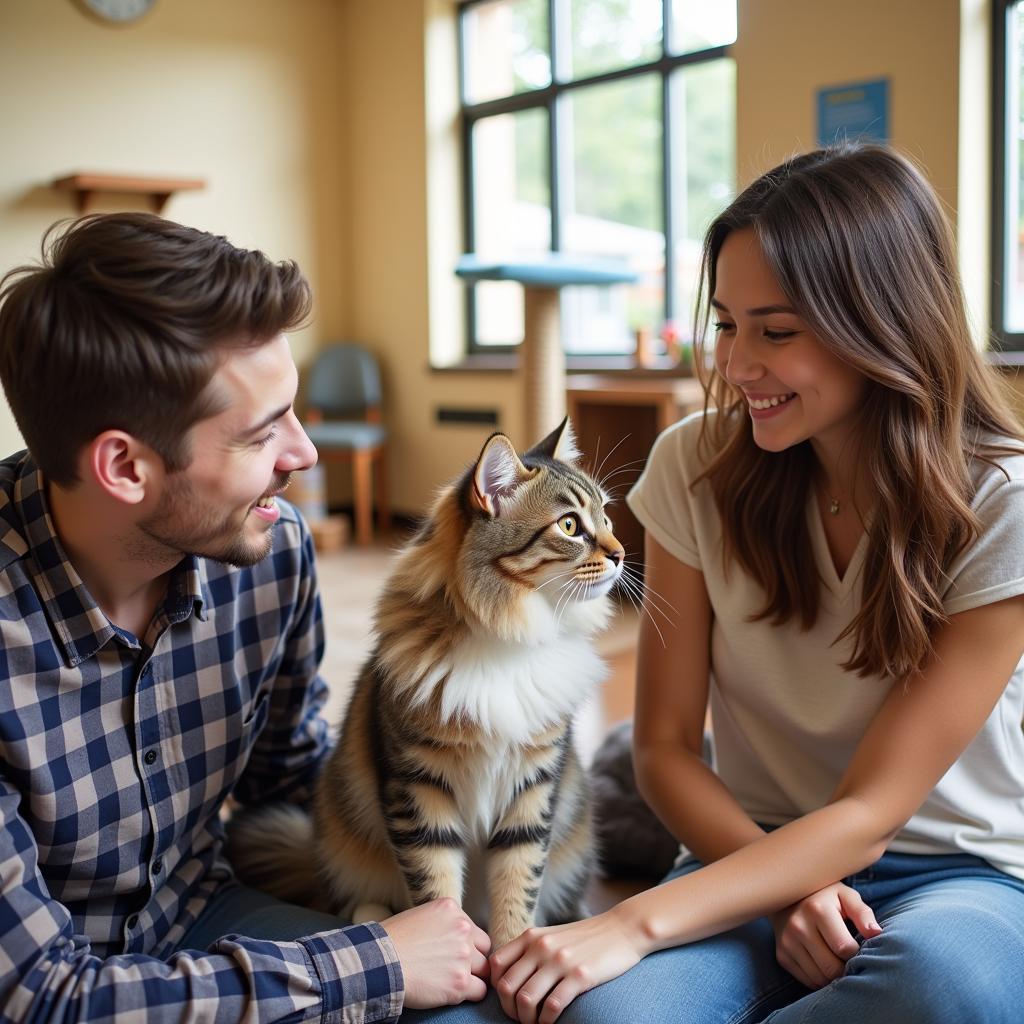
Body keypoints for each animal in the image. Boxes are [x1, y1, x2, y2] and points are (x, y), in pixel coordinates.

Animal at [228, 419, 622, 946]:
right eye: (570, 526)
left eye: (606, 518)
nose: (621, 554)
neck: (510, 635)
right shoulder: (419, 788)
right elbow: (436, 892)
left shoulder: (534, 785)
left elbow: (517, 889)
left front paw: (516, 951)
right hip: (340, 826)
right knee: (356, 896)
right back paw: (371, 915)